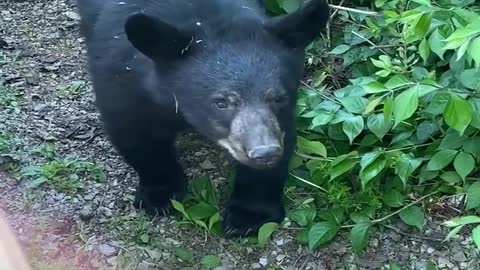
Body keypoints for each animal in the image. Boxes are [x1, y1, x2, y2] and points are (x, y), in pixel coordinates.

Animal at [76, 0, 330, 236]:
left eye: (278, 97)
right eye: (221, 102)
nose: (264, 152)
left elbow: (284, 136)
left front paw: (248, 216)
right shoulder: (119, 75)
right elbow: (135, 133)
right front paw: (161, 193)